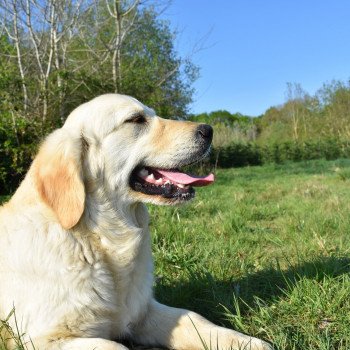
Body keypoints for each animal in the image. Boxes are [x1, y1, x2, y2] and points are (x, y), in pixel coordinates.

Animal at [0, 94, 272, 348]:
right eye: (136, 119)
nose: (208, 130)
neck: (98, 239)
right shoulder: (44, 339)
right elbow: (114, 345)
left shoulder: (142, 312)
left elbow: (194, 319)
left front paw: (246, 342)